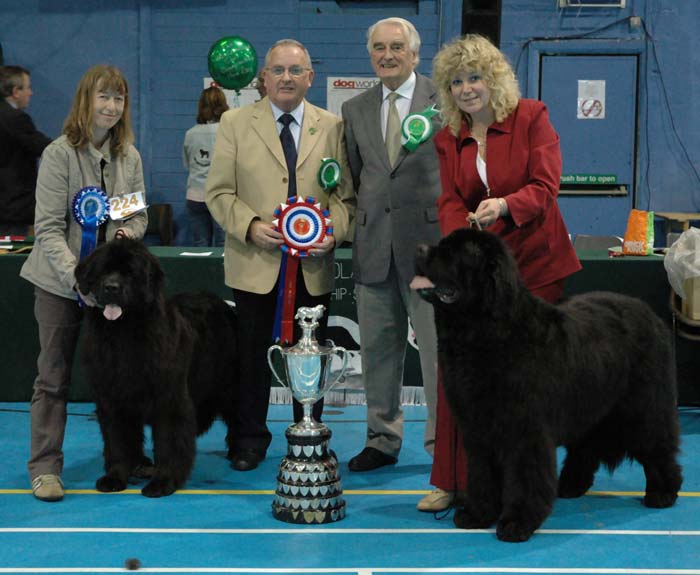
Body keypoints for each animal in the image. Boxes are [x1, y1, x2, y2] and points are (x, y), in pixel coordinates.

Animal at [74, 240, 238, 500]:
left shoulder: (169, 399)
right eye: (103, 271)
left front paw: (163, 482)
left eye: (129, 273)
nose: (111, 287)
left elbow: (169, 443)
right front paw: (115, 477)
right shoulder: (112, 398)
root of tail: (222, 303)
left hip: (229, 385)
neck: (123, 335)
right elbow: (118, 441)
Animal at [412, 227, 680, 544]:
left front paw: (517, 522)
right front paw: (477, 514)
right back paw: (571, 486)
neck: (485, 331)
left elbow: (525, 476)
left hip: (642, 407)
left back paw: (663, 492)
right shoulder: (477, 428)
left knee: (657, 445)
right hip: (590, 404)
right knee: (585, 447)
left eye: (454, 253)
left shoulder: (526, 429)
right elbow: (480, 473)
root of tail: (651, 315)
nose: (418, 250)